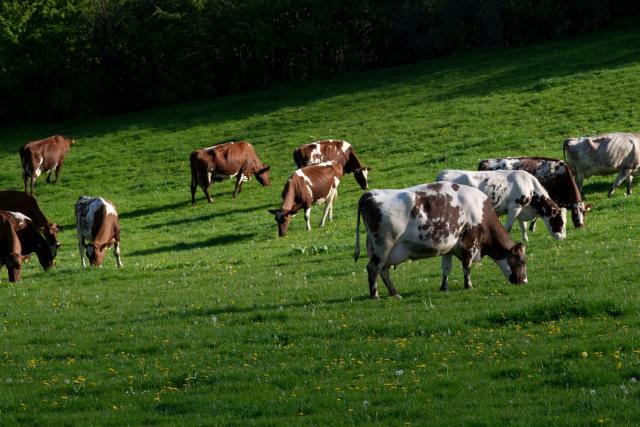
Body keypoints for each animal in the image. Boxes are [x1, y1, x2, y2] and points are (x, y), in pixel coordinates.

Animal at [354, 182, 528, 298]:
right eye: (522, 261)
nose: (524, 282)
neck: (481, 211)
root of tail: (369, 194)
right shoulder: (469, 243)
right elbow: (467, 267)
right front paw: (469, 286)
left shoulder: (449, 246)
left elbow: (446, 268)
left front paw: (444, 287)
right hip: (383, 245)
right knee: (373, 268)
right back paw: (375, 296)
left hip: (379, 249)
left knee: (383, 270)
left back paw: (394, 293)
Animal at [437, 170, 567, 242]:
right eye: (560, 221)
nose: (563, 238)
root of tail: (444, 173)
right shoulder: (514, 207)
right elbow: (508, 226)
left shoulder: (522, 209)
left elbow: (523, 226)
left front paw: (526, 240)